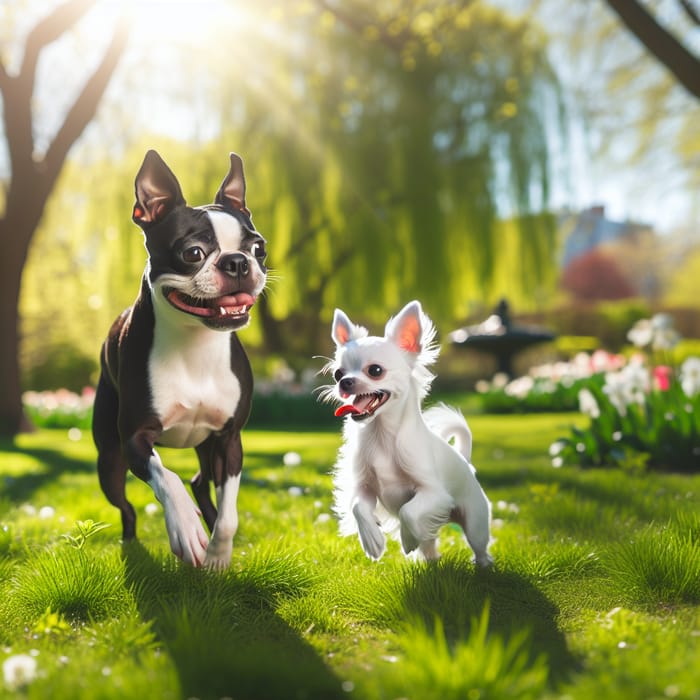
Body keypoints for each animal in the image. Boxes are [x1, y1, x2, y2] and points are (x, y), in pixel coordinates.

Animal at [91, 149, 266, 568]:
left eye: (258, 249)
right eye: (193, 253)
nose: (238, 262)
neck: (196, 344)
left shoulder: (229, 440)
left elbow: (231, 513)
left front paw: (219, 554)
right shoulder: (135, 438)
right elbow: (166, 477)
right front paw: (186, 529)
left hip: (206, 447)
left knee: (201, 481)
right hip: (109, 461)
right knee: (127, 506)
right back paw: (132, 542)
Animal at [322, 298, 492, 568]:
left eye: (375, 370)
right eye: (337, 373)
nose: (344, 382)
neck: (382, 436)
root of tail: (465, 462)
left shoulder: (434, 493)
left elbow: (408, 511)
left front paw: (407, 539)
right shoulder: (364, 487)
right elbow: (359, 508)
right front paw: (372, 540)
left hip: (475, 524)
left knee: (480, 547)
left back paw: (483, 566)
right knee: (430, 544)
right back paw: (430, 561)